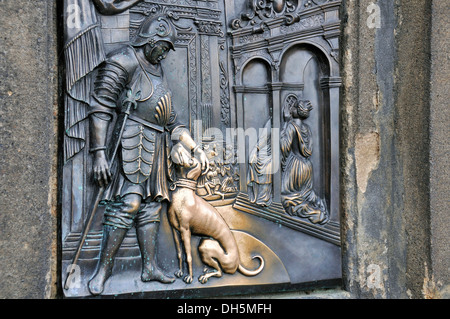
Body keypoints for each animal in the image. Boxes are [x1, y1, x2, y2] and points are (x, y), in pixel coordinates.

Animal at [169, 144, 264, 284]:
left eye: (191, 159)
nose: (178, 145)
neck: (182, 195)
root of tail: (238, 262)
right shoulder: (175, 230)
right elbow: (180, 253)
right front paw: (180, 271)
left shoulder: (185, 231)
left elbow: (189, 256)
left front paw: (189, 277)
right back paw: (206, 271)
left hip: (205, 246)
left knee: (220, 272)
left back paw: (205, 276)